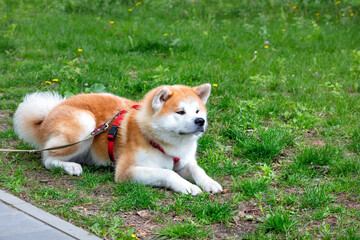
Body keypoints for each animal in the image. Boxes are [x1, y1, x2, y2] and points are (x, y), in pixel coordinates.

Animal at [13, 84, 222, 195]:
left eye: (198, 111)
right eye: (180, 112)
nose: (200, 121)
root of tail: (47, 117)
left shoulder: (184, 161)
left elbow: (197, 169)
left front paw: (209, 182)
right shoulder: (127, 170)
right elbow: (168, 173)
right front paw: (188, 186)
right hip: (85, 122)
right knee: (47, 158)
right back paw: (69, 166)